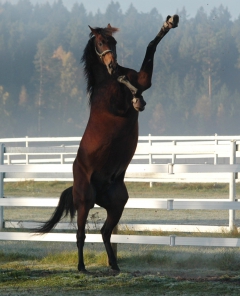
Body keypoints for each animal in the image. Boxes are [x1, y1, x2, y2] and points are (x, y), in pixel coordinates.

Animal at [35, 14, 178, 272]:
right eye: (100, 42)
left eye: (113, 41)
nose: (112, 65)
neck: (106, 81)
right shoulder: (118, 106)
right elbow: (131, 87)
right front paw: (136, 99)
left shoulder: (143, 79)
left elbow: (150, 48)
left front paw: (169, 23)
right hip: (85, 201)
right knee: (80, 235)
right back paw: (82, 267)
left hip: (117, 203)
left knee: (105, 232)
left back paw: (114, 265)